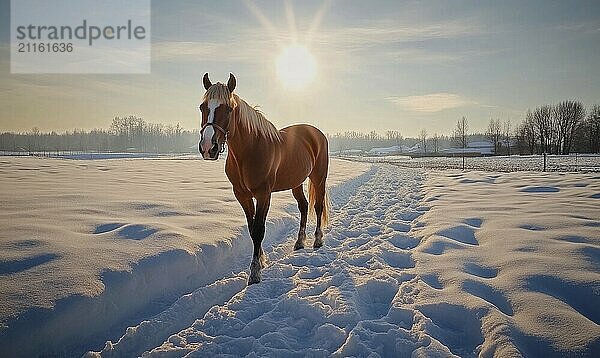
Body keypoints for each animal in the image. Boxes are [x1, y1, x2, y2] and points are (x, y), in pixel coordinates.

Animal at [198, 73, 330, 286]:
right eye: (202, 107)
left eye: (229, 108)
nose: (208, 147)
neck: (249, 150)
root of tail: (316, 133)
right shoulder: (242, 195)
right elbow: (252, 229)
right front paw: (261, 259)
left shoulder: (263, 194)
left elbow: (259, 229)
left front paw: (255, 273)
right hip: (296, 182)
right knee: (303, 206)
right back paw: (299, 242)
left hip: (319, 178)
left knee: (317, 207)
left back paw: (317, 240)